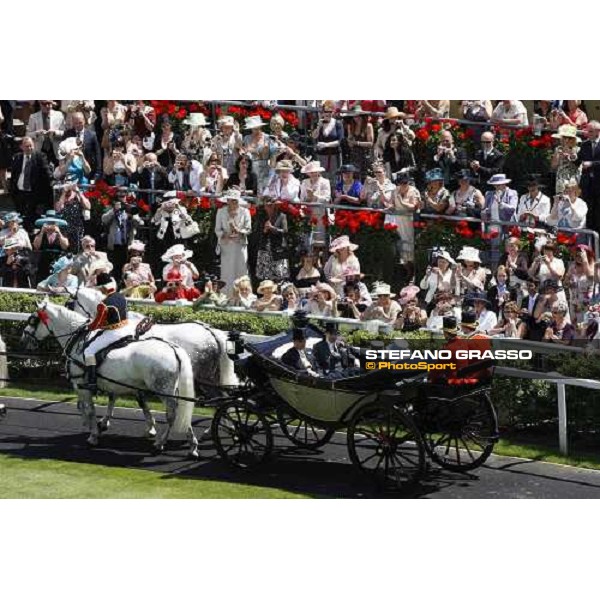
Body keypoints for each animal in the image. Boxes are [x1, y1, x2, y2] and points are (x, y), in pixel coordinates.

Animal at [21, 302, 199, 458]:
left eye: (32, 319)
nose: (24, 338)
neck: (79, 342)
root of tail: (173, 348)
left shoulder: (82, 386)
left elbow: (90, 409)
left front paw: (93, 435)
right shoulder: (111, 385)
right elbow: (96, 405)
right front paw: (94, 424)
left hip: (163, 390)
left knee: (172, 414)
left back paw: (161, 443)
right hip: (171, 390)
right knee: (181, 411)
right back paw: (192, 446)